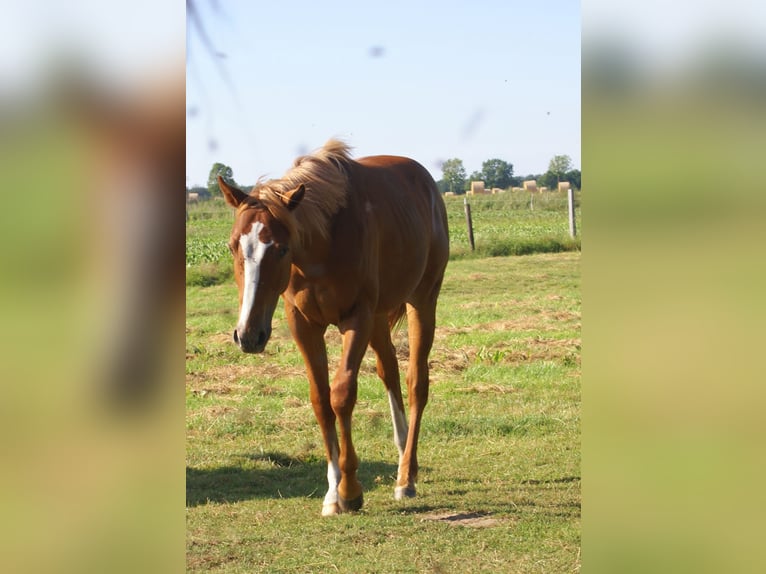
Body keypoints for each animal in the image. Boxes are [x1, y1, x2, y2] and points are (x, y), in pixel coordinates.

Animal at [218, 139, 449, 515]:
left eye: (281, 249)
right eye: (233, 245)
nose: (249, 335)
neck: (323, 243)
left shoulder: (355, 318)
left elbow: (341, 395)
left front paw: (351, 490)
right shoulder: (303, 324)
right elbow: (320, 400)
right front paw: (332, 493)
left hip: (422, 301)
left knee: (417, 382)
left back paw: (406, 478)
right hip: (379, 317)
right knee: (390, 371)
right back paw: (402, 455)